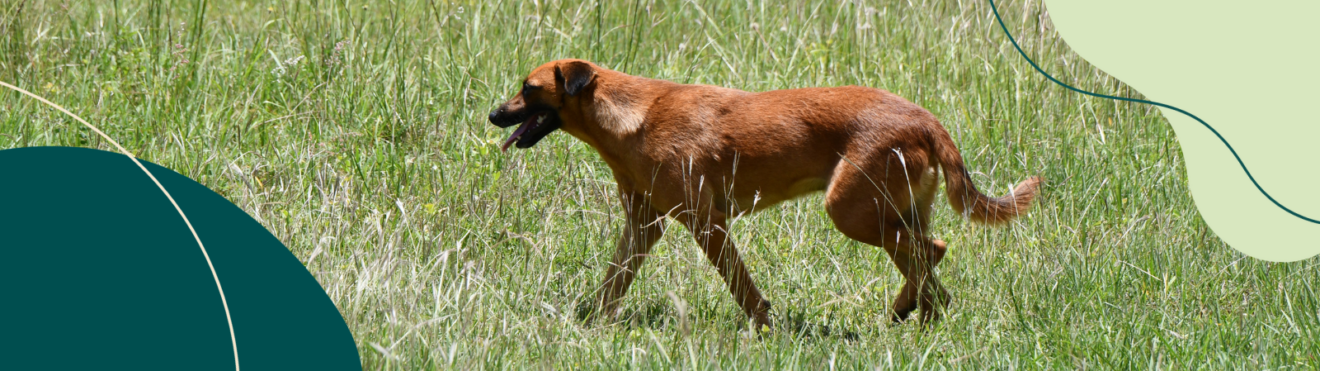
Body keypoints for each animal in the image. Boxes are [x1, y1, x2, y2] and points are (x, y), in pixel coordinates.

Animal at [488, 57, 1040, 326]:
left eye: (528, 88)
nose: (493, 115)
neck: (630, 118)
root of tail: (927, 120)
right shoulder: (644, 226)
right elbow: (613, 282)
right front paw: (592, 324)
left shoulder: (706, 224)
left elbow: (741, 287)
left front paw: (763, 327)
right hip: (890, 213)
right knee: (929, 266)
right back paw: (915, 317)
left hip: (851, 211)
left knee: (934, 251)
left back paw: (910, 314)